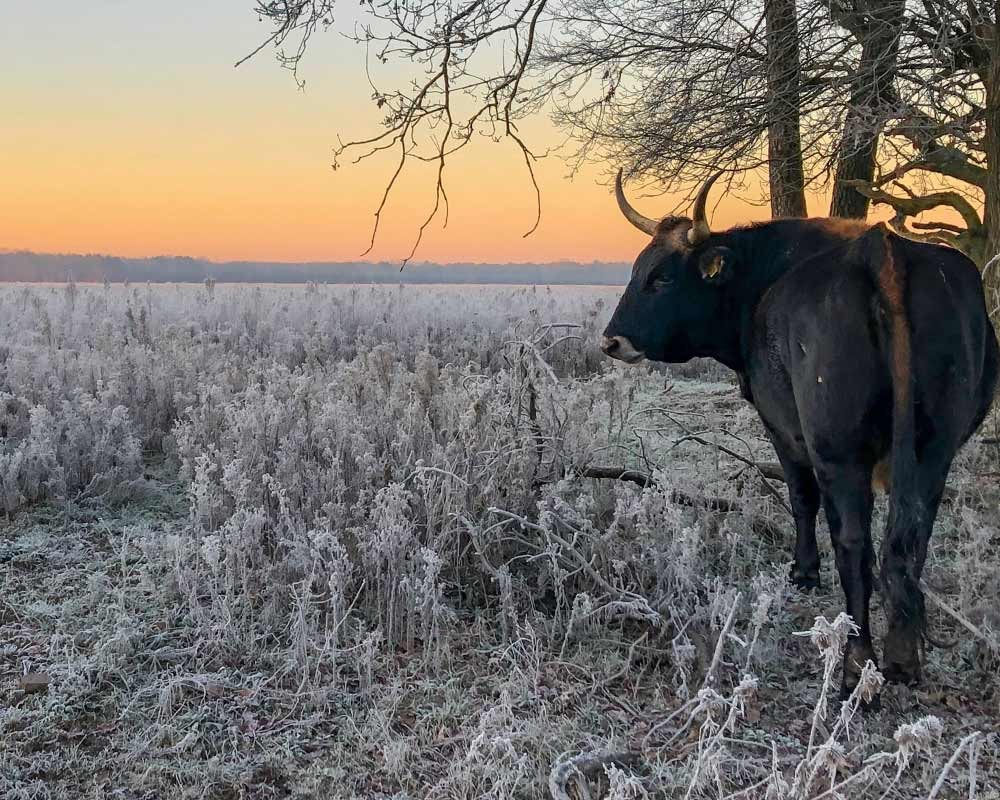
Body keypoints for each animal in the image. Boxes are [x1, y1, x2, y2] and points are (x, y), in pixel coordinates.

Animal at [600, 202, 1000, 700]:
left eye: (662, 278)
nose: (611, 340)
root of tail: (881, 252)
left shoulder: (783, 431)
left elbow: (801, 499)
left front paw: (805, 570)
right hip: (933, 452)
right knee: (908, 541)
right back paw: (903, 659)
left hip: (838, 454)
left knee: (854, 545)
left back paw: (855, 665)